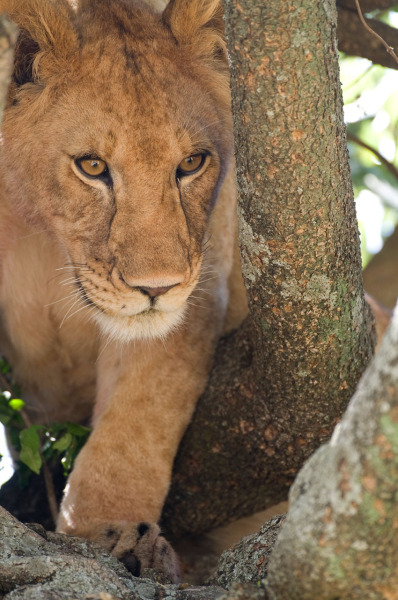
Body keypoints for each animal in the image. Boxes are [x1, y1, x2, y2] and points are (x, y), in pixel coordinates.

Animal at [0, 0, 247, 584]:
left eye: (192, 163)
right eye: (92, 166)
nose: (157, 287)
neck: (44, 235)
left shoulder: (201, 281)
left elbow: (135, 420)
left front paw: (109, 536)